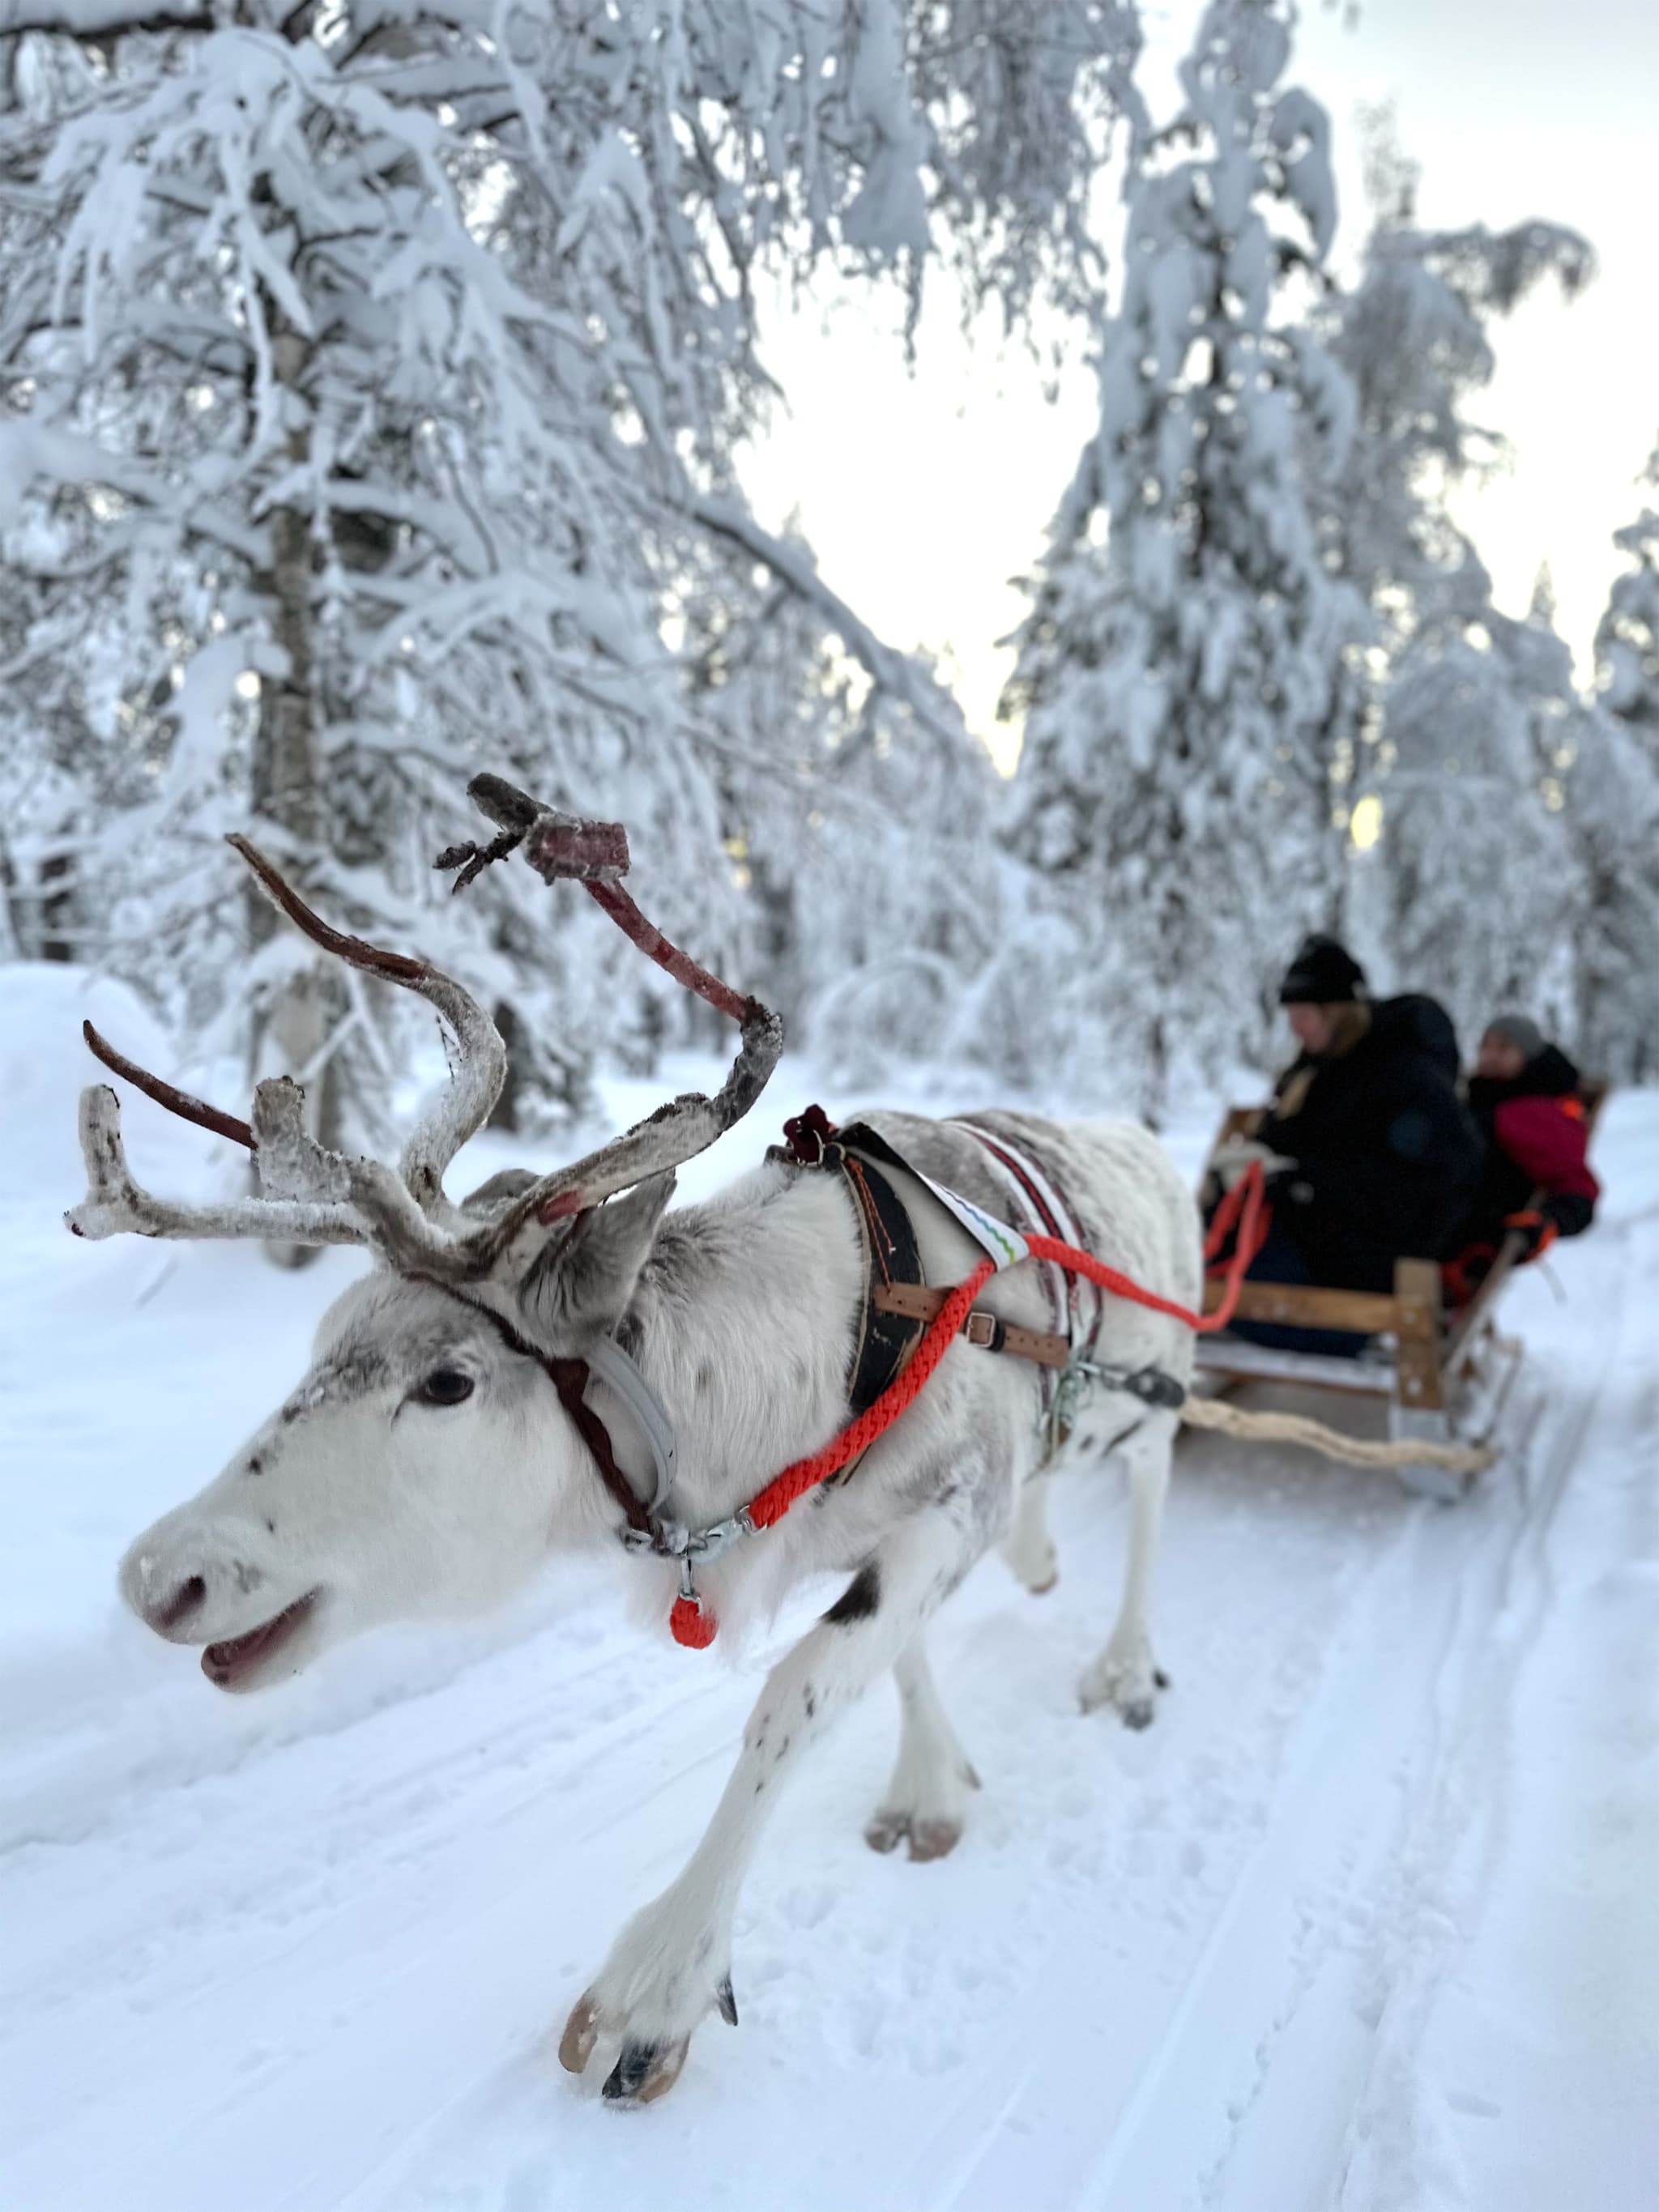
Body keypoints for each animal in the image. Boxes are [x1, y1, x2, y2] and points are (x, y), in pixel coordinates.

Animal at [73, 776, 1201, 2106]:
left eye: (449, 1381)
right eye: (328, 1331)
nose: (163, 1574)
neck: (821, 1359)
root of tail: (1154, 1146)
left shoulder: (951, 1500)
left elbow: (795, 1692)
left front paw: (652, 1991)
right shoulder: (876, 1531)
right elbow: (894, 1656)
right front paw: (932, 1787)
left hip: (1165, 1388)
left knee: (1150, 1493)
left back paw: (1125, 1663)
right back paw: (1041, 1561)